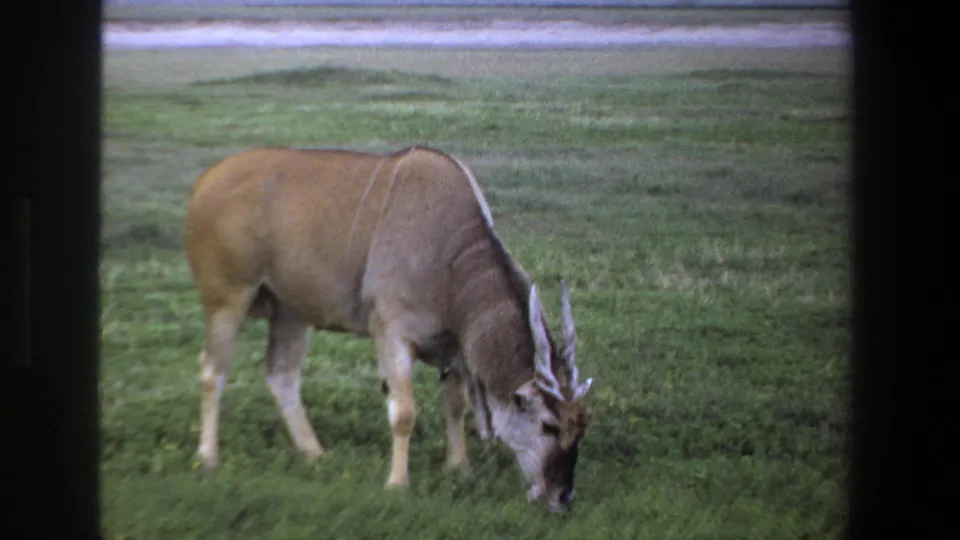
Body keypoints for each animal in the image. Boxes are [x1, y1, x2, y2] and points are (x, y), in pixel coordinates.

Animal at [184, 145, 594, 512]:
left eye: (582, 427)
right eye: (548, 426)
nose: (563, 497)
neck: (448, 254)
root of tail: (206, 181)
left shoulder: (454, 348)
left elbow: (456, 405)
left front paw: (459, 468)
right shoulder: (391, 332)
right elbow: (404, 413)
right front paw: (397, 484)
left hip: (291, 312)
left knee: (280, 374)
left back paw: (315, 453)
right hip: (229, 298)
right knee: (212, 370)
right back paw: (208, 458)